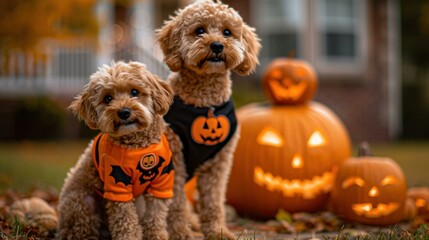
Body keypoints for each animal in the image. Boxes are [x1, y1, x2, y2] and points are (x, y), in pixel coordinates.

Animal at [56, 61, 174, 239]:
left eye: (134, 92)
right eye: (108, 98)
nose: (124, 112)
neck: (137, 146)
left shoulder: (161, 183)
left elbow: (155, 217)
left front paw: (157, 236)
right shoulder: (117, 184)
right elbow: (126, 219)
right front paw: (129, 237)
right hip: (83, 203)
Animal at [155, 0, 260, 239]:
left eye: (227, 32)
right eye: (200, 30)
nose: (217, 45)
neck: (205, 103)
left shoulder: (219, 163)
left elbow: (213, 201)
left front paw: (217, 232)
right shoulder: (175, 160)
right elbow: (176, 203)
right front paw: (180, 234)